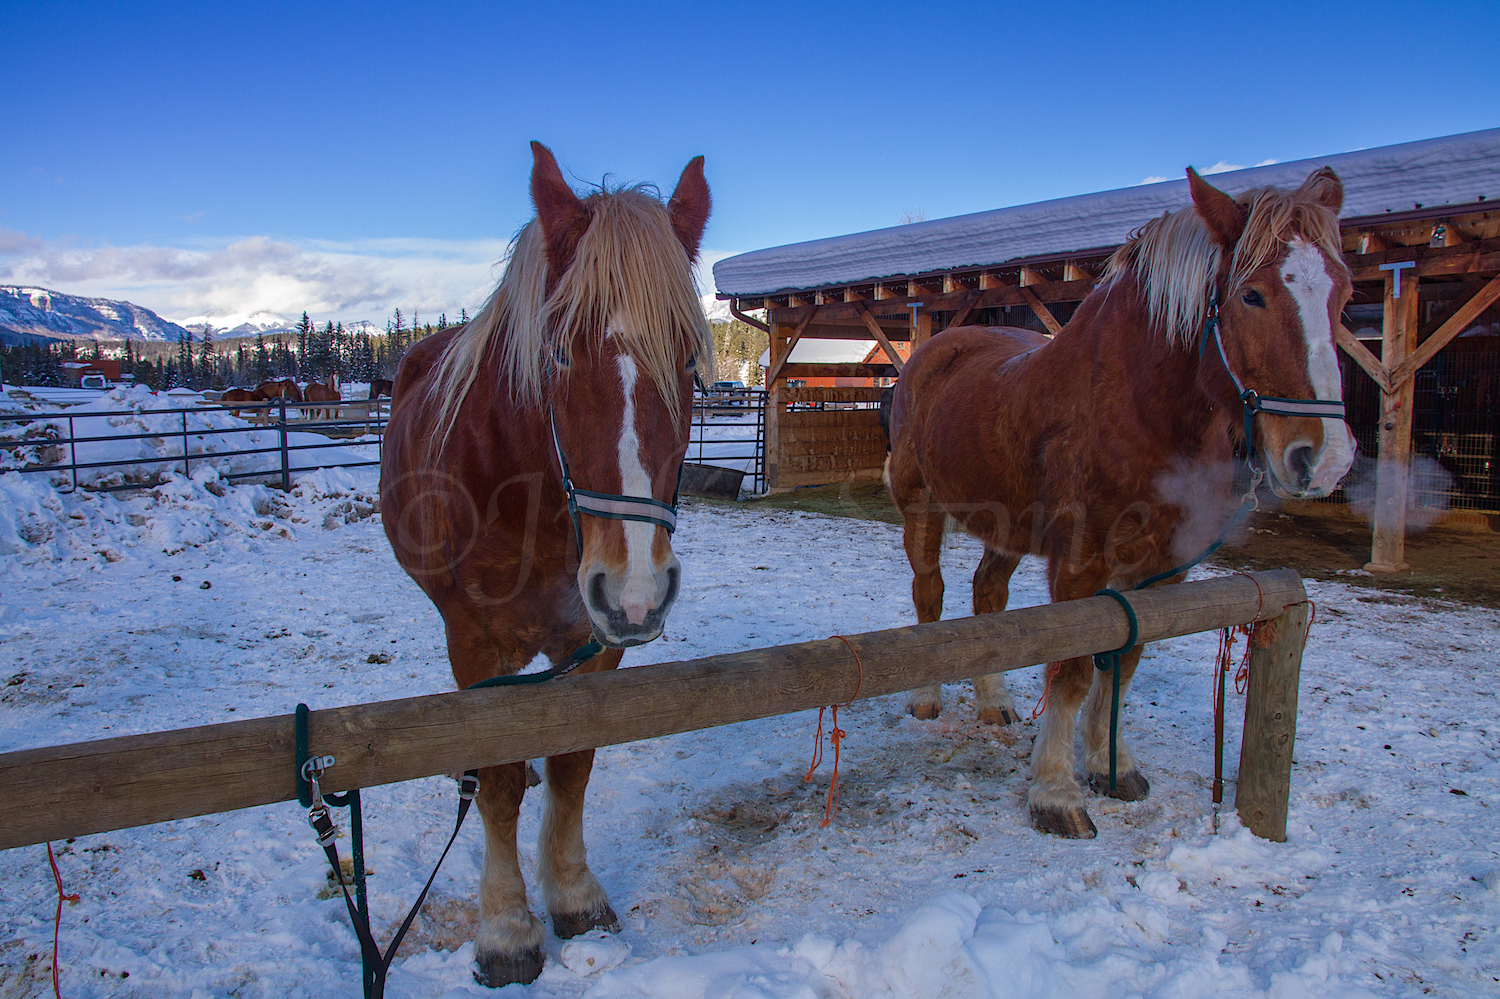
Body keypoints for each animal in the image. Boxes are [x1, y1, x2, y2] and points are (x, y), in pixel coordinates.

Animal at [378, 141, 711, 990]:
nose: (636, 588)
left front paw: (573, 896)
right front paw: (505, 930)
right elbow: (497, 783)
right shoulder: (474, 640)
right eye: (558, 351)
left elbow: (572, 761)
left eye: (690, 359)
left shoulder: (591, 643)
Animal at [882, 167, 1356, 834]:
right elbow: (1074, 668)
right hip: (922, 510)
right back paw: (927, 698)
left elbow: (1124, 663)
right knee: (931, 593)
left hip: (1007, 526)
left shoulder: (1165, 569)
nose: (1325, 458)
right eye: (1252, 296)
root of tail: (933, 350)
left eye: (1343, 293)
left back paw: (995, 702)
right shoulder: (1080, 563)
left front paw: (1111, 767)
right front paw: (1056, 793)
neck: (1140, 407)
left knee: (988, 597)